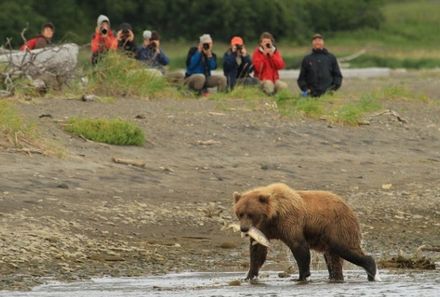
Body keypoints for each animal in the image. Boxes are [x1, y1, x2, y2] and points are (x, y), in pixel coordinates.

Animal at [232, 182, 380, 280]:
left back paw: (371, 270)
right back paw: (336, 277)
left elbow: (298, 245)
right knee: (333, 258)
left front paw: (302, 275)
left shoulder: (289, 221)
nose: (244, 228)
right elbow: (258, 251)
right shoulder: (263, 229)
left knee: (345, 248)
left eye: (251, 214)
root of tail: (348, 207)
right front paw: (249, 276)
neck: (273, 214)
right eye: (240, 213)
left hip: (338, 226)